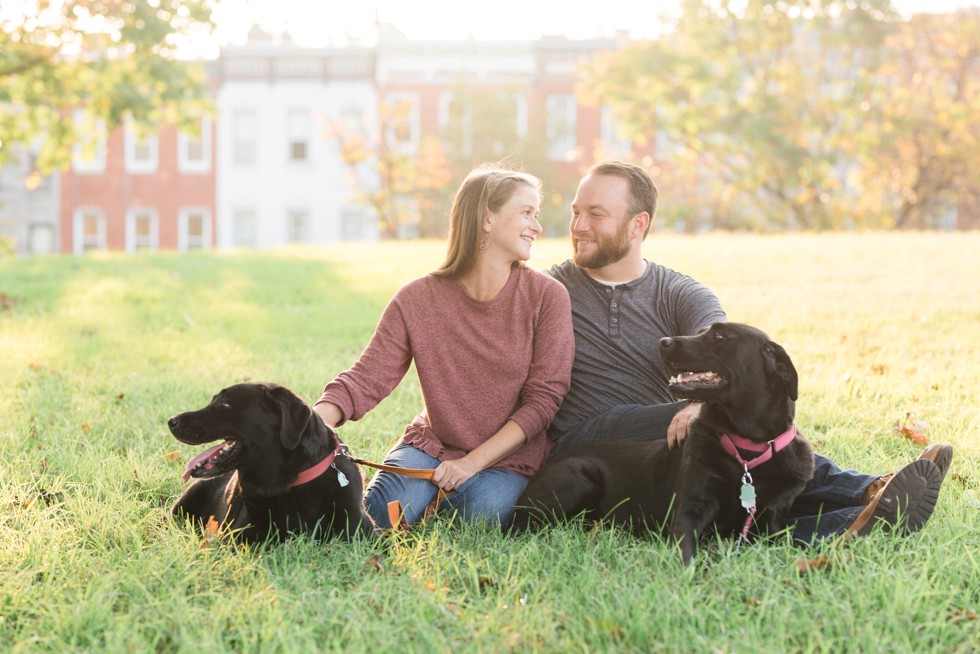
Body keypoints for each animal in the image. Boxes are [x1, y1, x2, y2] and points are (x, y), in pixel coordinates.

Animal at [510, 322, 816, 564]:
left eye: (719, 336)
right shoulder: (690, 509)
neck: (747, 450)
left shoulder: (772, 522)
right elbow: (687, 555)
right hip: (579, 480)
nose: (663, 342)